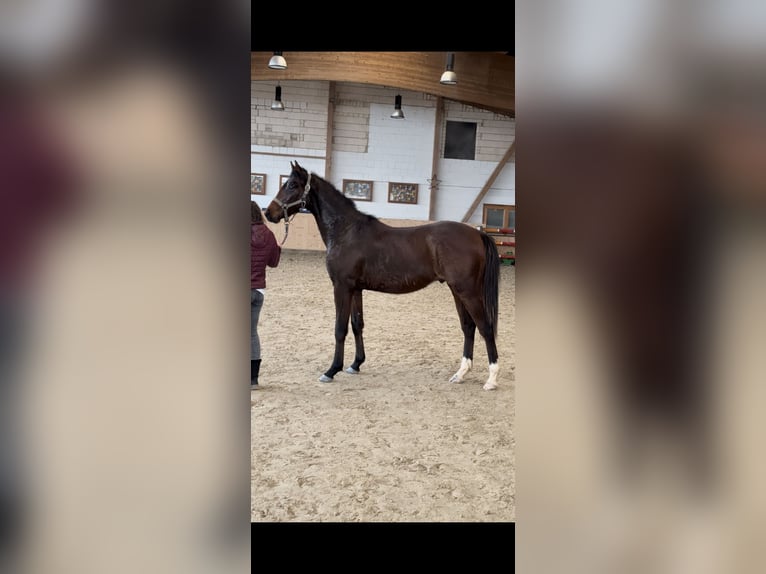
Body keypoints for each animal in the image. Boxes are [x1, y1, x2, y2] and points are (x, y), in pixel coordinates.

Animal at [266, 164, 504, 394]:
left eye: (292, 184)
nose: (269, 213)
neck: (346, 231)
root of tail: (478, 233)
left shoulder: (342, 287)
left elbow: (340, 329)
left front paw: (332, 370)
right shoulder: (356, 289)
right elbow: (357, 324)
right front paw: (356, 364)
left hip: (468, 292)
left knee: (485, 327)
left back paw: (492, 379)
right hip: (457, 291)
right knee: (468, 327)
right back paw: (461, 374)